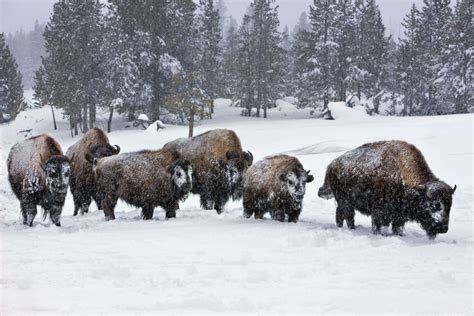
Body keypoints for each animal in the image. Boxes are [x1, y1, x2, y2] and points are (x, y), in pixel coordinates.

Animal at [318, 141, 456, 239]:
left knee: (341, 215)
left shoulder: (399, 216)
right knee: (347, 216)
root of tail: (332, 164)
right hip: (345, 202)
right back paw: (350, 229)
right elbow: (379, 226)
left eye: (449, 205)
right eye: (433, 204)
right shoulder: (380, 212)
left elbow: (397, 227)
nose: (443, 228)